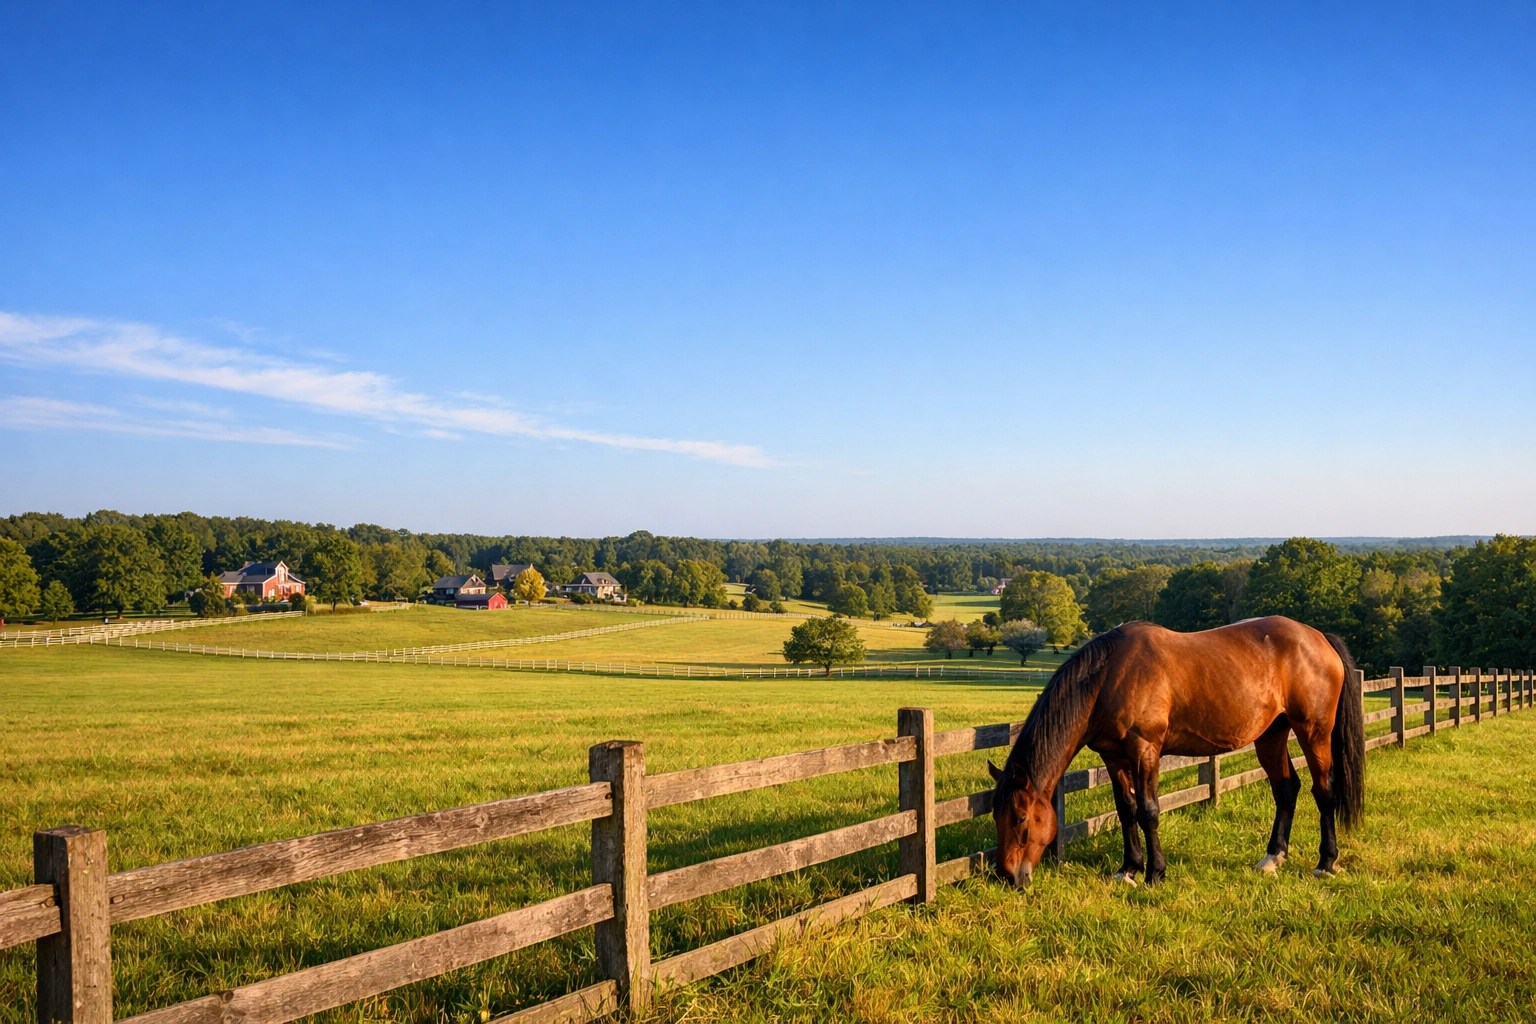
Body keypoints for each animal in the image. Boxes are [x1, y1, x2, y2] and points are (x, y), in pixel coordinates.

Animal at [987, 616, 1365, 887]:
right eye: (995, 816)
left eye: (1020, 817)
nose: (1006, 876)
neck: (1109, 677)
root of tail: (1318, 637)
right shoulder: (1113, 757)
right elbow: (1126, 810)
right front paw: (1128, 869)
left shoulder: (1145, 750)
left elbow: (1148, 811)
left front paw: (1155, 873)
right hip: (1271, 735)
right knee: (1286, 789)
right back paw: (1273, 858)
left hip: (1314, 732)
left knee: (1324, 791)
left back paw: (1326, 862)